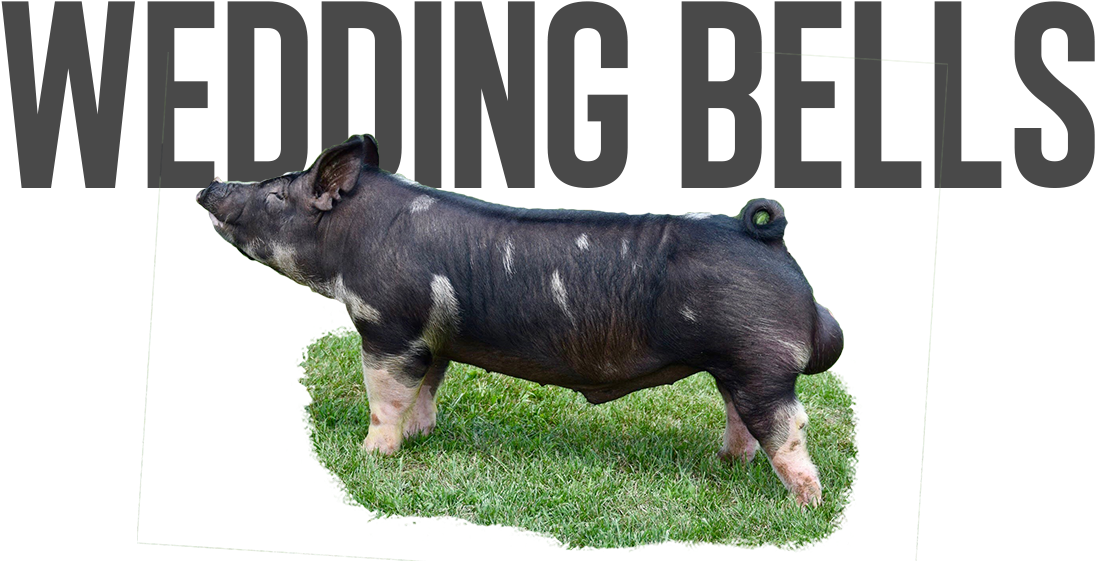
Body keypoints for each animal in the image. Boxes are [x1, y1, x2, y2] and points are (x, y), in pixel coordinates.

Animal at [195, 134, 844, 507]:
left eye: (277, 196)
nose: (210, 184)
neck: (354, 238)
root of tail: (764, 236)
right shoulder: (434, 338)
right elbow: (426, 389)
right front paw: (422, 436)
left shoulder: (389, 324)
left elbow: (386, 394)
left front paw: (370, 455)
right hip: (733, 363)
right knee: (741, 417)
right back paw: (725, 464)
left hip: (758, 359)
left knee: (788, 425)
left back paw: (805, 506)